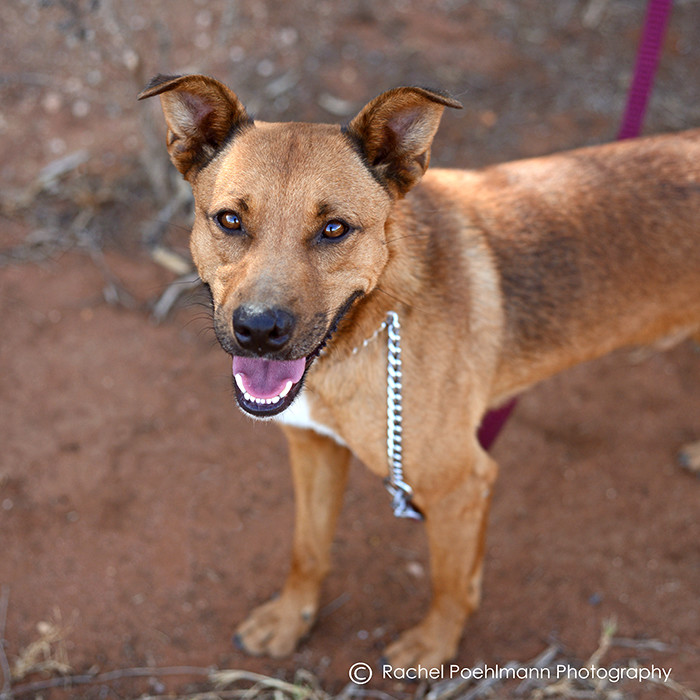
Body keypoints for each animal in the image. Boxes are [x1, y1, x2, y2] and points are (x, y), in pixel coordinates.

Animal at [139, 73, 700, 669]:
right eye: (230, 220)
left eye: (334, 228)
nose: (260, 330)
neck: (368, 328)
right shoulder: (313, 448)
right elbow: (307, 549)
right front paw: (290, 620)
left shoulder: (462, 486)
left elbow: (450, 585)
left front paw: (434, 648)